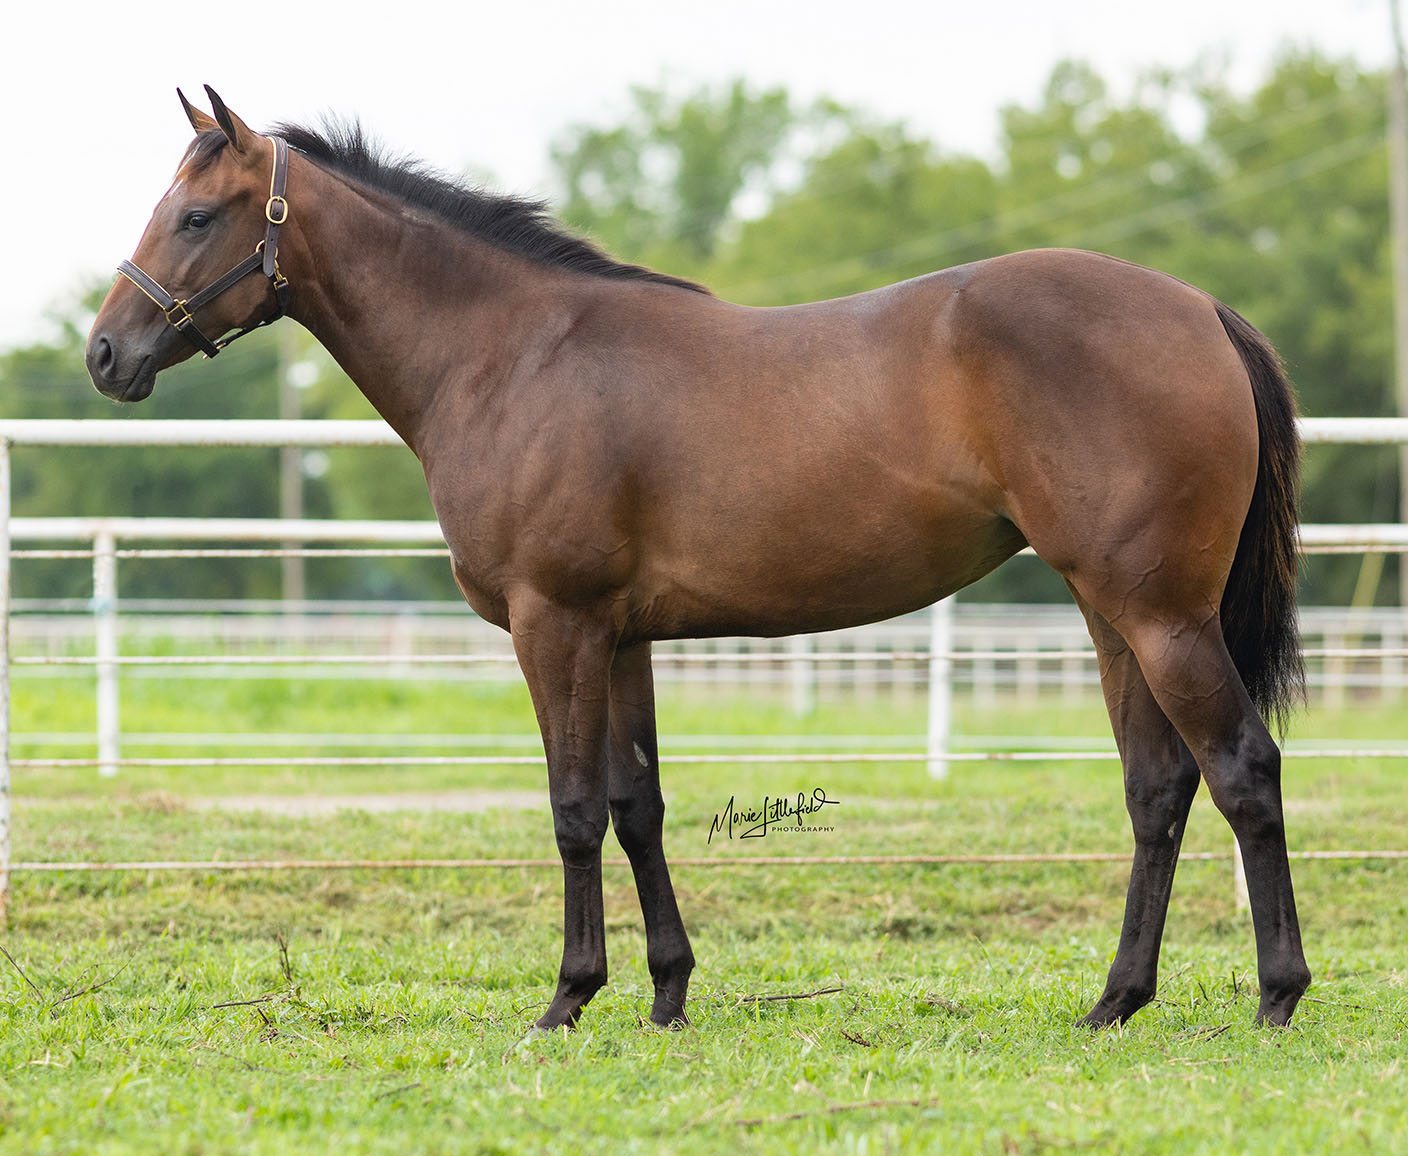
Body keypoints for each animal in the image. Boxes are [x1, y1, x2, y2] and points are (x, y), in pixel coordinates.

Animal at [85, 88, 1306, 1030]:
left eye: (196, 215)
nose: (104, 354)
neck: (512, 355)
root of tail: (1199, 307)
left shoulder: (555, 624)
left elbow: (573, 807)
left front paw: (568, 997)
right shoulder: (621, 636)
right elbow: (638, 805)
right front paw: (667, 995)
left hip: (1160, 617)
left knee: (1242, 769)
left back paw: (1276, 995)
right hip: (1112, 613)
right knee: (1158, 789)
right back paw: (1116, 1000)